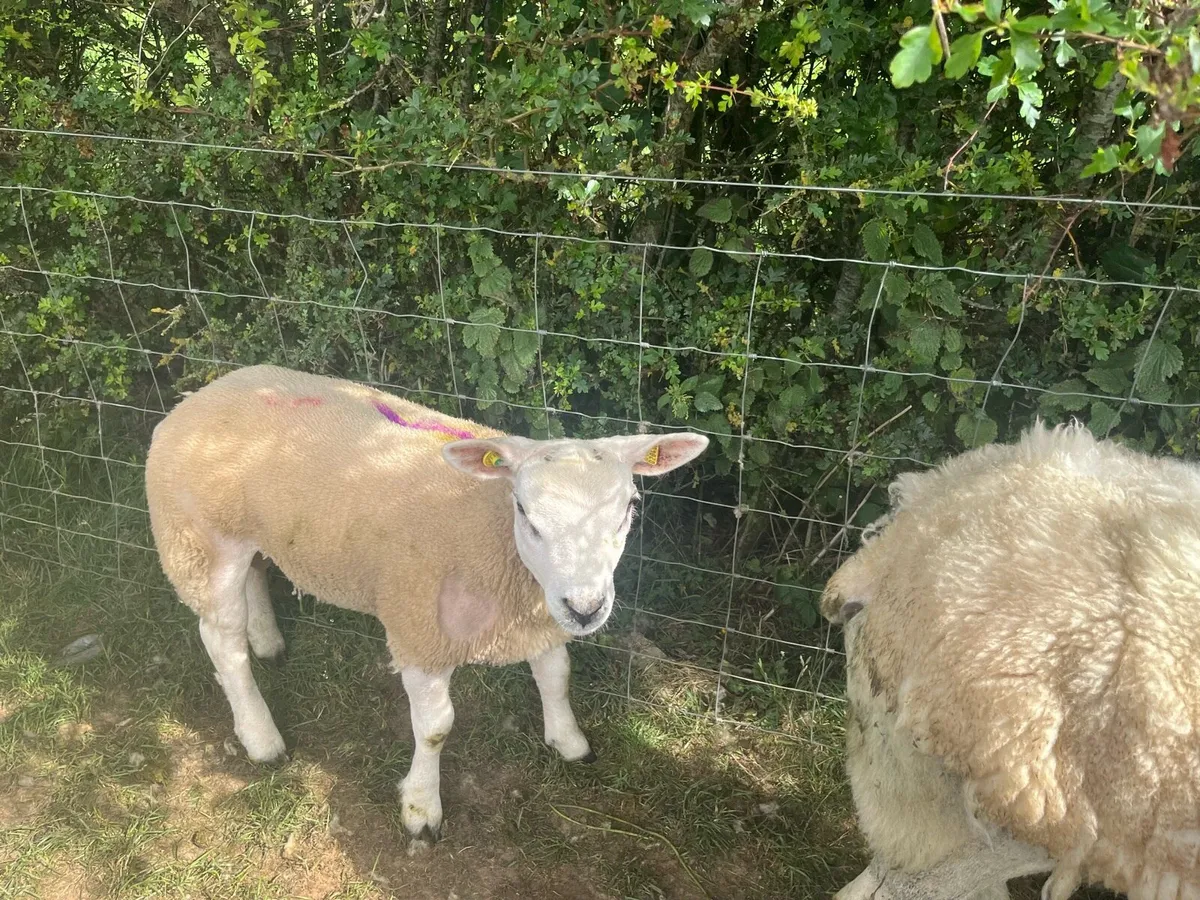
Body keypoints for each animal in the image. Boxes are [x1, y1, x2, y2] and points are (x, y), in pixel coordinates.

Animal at [145, 364, 708, 840]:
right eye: (523, 510)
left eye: (630, 507)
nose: (587, 608)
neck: (490, 529)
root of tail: (205, 392)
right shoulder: (419, 632)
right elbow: (435, 729)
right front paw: (421, 807)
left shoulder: (538, 615)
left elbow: (557, 677)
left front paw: (569, 742)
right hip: (200, 538)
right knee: (222, 641)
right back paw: (261, 736)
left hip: (251, 530)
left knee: (257, 576)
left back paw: (268, 640)